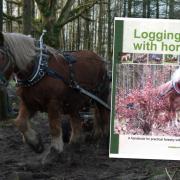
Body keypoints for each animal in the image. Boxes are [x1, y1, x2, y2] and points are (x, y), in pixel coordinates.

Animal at [0, 32, 109, 162]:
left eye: (1, 55)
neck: (38, 70)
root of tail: (99, 58)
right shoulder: (28, 103)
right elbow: (20, 122)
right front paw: (36, 143)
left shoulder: (53, 103)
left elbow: (54, 127)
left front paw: (55, 151)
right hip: (75, 100)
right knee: (77, 119)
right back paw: (76, 143)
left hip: (101, 95)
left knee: (104, 115)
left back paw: (104, 140)